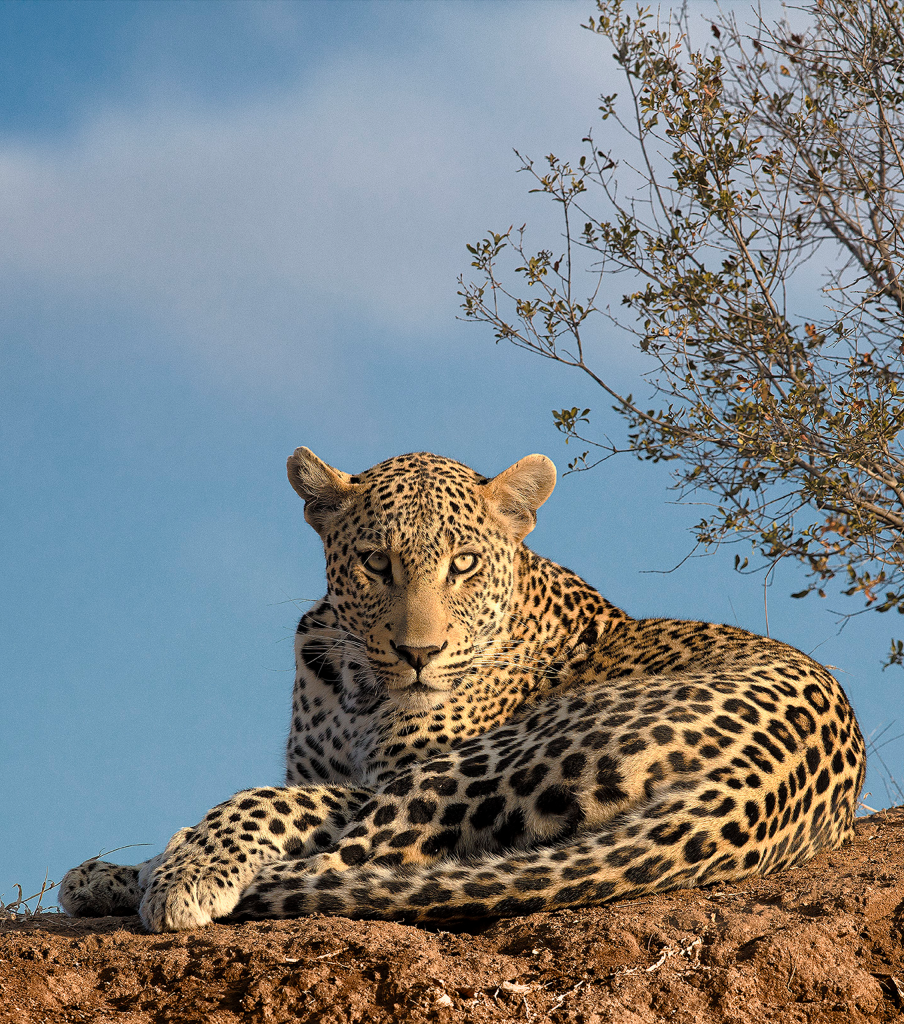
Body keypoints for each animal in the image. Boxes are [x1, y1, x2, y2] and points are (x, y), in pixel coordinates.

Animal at [60, 447, 866, 933]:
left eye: (465, 563)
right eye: (376, 563)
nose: (420, 654)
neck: (353, 687)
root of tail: (763, 785)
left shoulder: (382, 776)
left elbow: (270, 802)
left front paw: (177, 873)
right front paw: (120, 873)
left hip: (486, 764)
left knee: (357, 862)